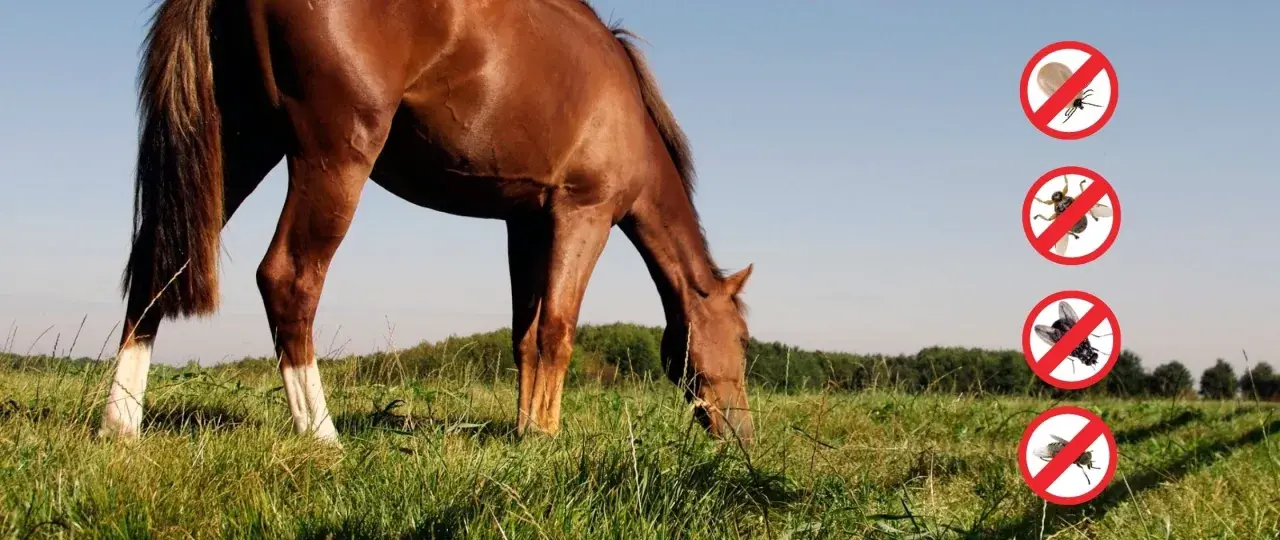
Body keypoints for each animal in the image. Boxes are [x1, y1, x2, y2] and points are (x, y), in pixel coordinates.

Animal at [99, 0, 755, 446]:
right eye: (743, 338)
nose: (744, 436)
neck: (624, 110)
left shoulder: (524, 223)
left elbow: (524, 333)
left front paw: (525, 431)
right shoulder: (580, 215)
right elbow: (557, 330)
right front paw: (547, 435)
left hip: (239, 148)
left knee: (157, 264)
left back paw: (121, 424)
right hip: (333, 156)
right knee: (288, 279)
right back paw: (322, 436)